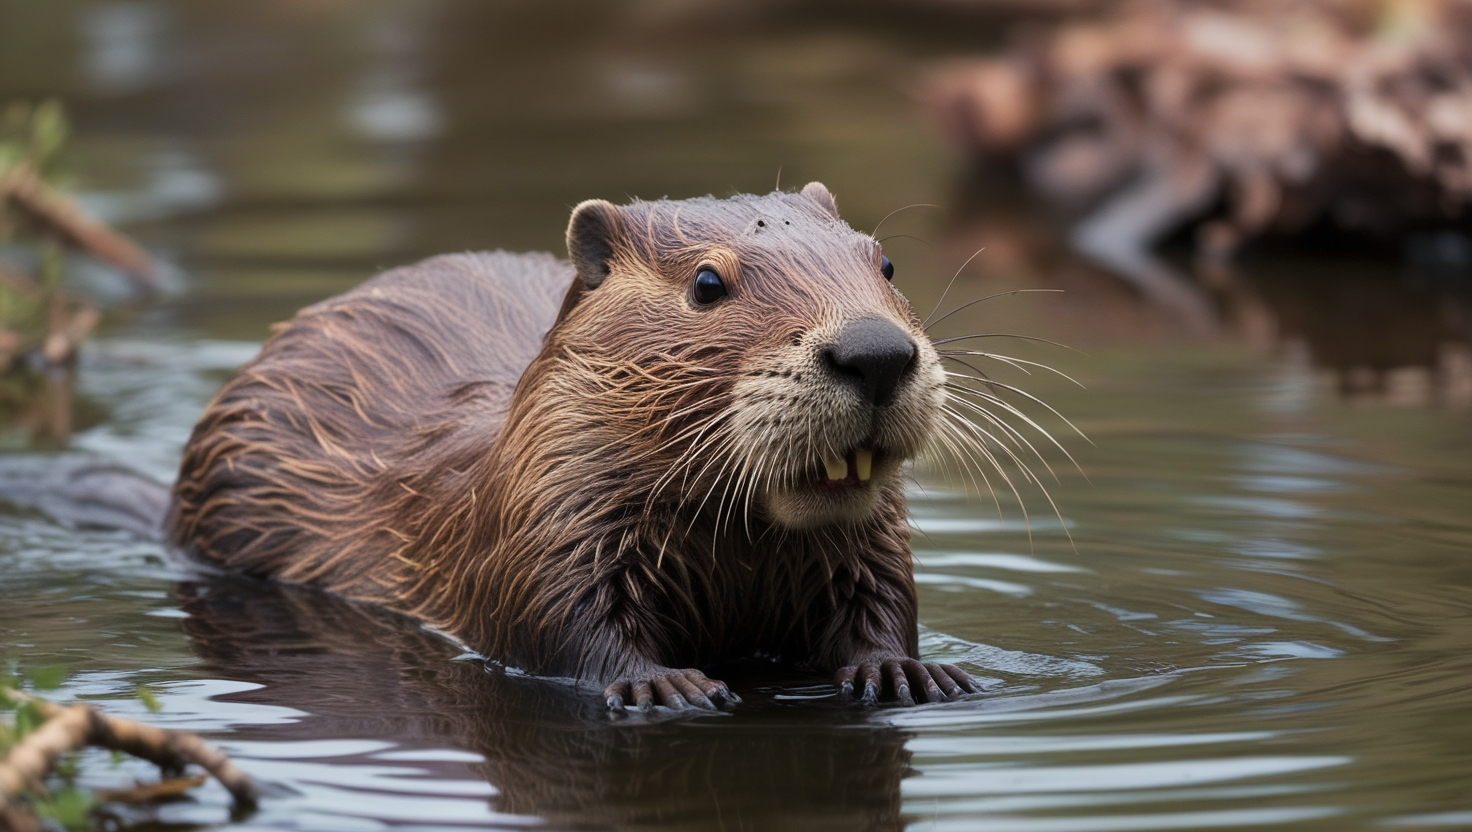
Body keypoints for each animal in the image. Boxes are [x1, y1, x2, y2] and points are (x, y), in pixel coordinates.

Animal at [169, 183, 977, 706]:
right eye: (707, 282)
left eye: (884, 262)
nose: (875, 351)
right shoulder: (544, 514)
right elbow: (559, 616)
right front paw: (662, 682)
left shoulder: (870, 545)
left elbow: (882, 597)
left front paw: (907, 672)